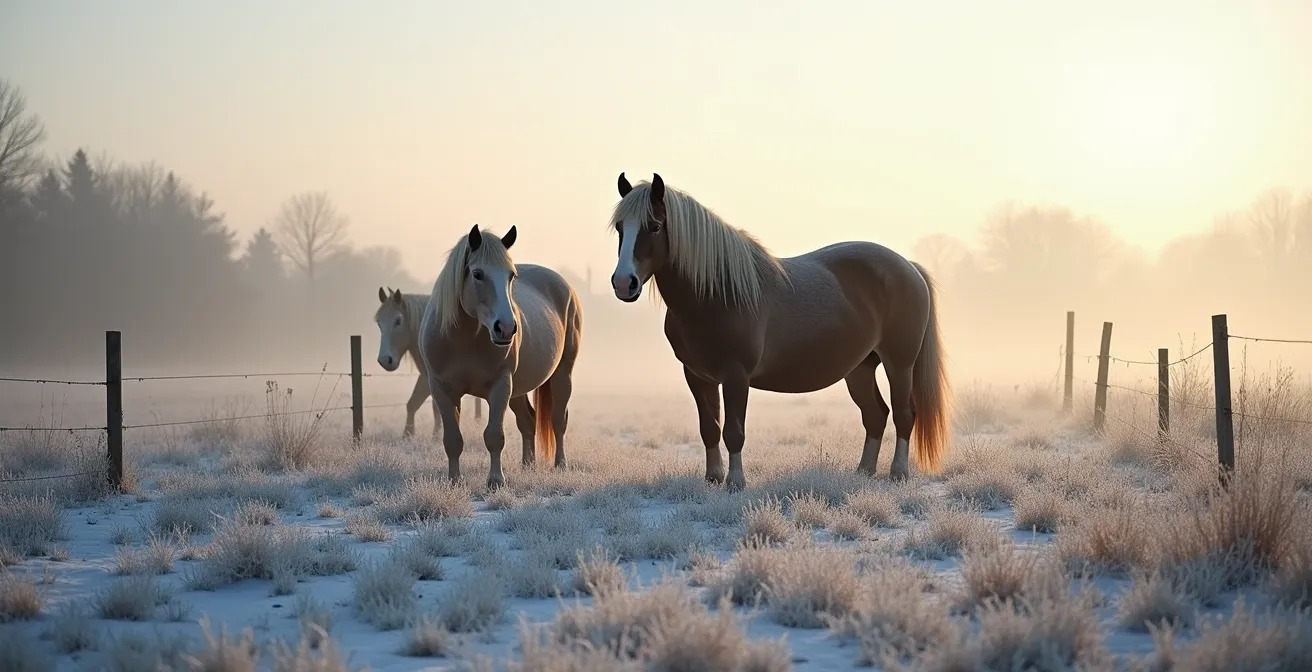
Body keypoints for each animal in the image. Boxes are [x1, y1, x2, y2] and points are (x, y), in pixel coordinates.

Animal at [373, 287, 483, 438]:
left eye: (398, 321)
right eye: (379, 322)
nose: (385, 360)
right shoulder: (427, 377)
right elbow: (416, 404)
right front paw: (410, 435)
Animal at [417, 224, 583, 488]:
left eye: (511, 276)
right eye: (477, 274)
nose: (506, 328)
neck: (463, 340)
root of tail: (565, 287)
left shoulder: (500, 385)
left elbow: (494, 435)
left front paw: (496, 480)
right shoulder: (441, 389)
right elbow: (452, 439)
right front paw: (455, 480)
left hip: (561, 374)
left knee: (558, 420)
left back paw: (560, 465)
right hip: (518, 390)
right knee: (528, 421)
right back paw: (528, 466)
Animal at [606, 172, 951, 491]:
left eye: (654, 226)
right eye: (620, 228)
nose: (624, 283)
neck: (716, 294)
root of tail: (909, 267)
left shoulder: (736, 375)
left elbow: (734, 431)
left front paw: (736, 482)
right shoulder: (697, 375)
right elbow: (710, 428)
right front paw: (713, 478)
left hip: (899, 364)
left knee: (904, 414)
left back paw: (898, 473)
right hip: (860, 368)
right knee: (875, 415)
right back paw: (863, 472)